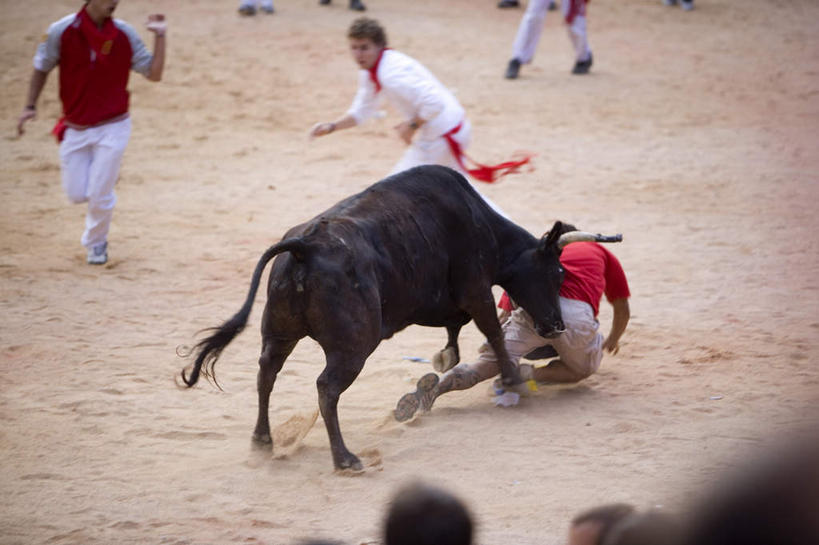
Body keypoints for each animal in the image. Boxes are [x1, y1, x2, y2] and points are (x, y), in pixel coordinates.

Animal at [183, 164, 572, 470]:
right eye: (557, 273)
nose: (556, 325)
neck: (480, 221)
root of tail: (303, 247)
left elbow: (456, 333)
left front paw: (446, 360)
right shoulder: (476, 289)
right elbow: (492, 331)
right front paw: (511, 378)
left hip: (279, 333)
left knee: (267, 372)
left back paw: (263, 440)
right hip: (354, 346)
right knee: (326, 388)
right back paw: (344, 458)